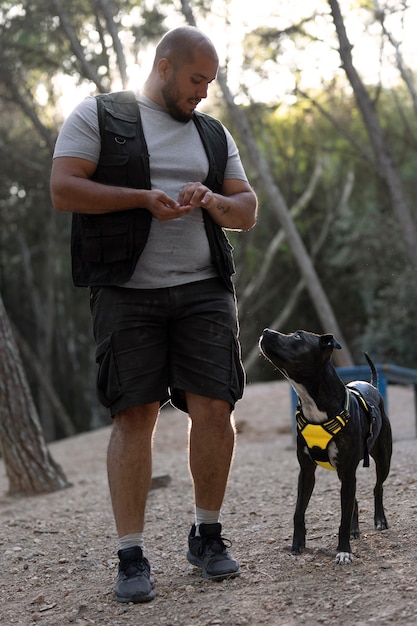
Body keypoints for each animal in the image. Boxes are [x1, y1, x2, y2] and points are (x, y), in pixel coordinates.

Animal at [258, 330, 392, 564]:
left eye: (297, 337)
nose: (266, 331)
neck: (315, 404)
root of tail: (372, 385)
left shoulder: (347, 472)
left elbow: (343, 518)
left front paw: (344, 551)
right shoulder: (307, 471)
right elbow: (298, 512)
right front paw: (297, 544)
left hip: (383, 459)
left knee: (378, 488)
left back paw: (379, 520)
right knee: (354, 500)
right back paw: (355, 530)